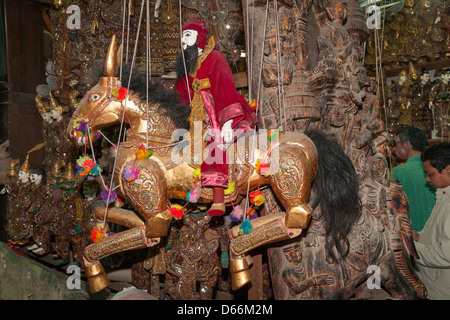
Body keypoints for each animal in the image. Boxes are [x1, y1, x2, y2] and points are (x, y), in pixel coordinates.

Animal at [67, 36, 318, 294]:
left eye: (93, 97)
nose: (73, 132)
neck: (155, 145)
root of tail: (302, 141)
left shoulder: (157, 217)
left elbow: (94, 249)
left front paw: (95, 275)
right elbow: (106, 213)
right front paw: (100, 229)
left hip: (290, 190)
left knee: (294, 222)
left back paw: (237, 257)